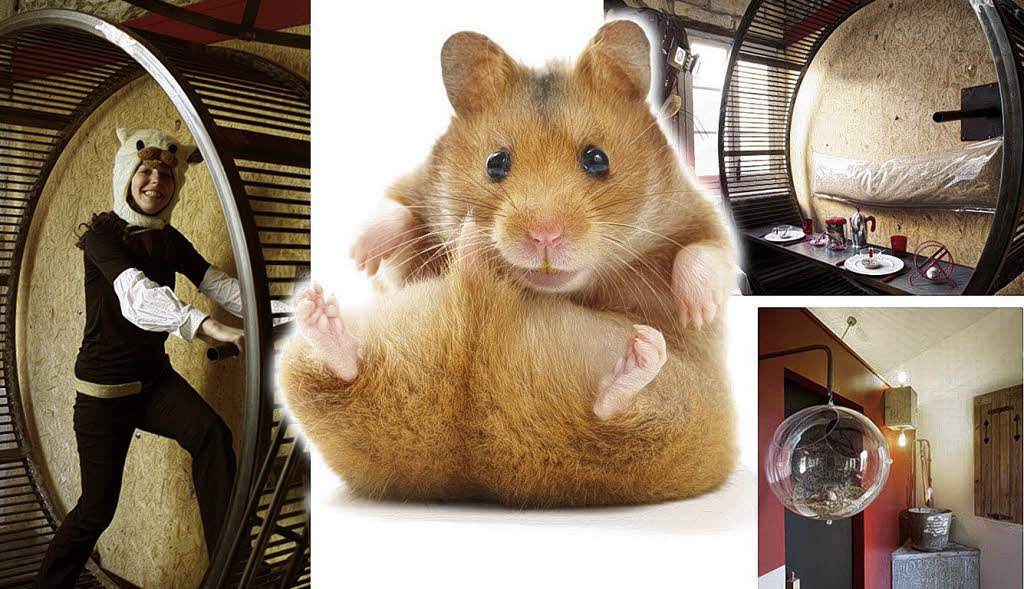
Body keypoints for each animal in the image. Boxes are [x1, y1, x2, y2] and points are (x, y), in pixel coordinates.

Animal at [350, 20, 734, 337]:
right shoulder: (420, 188)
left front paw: (696, 314)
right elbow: (394, 212)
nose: (544, 236)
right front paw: (361, 259)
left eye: (597, 159)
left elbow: (707, 250)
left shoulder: (697, 210)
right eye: (495, 162)